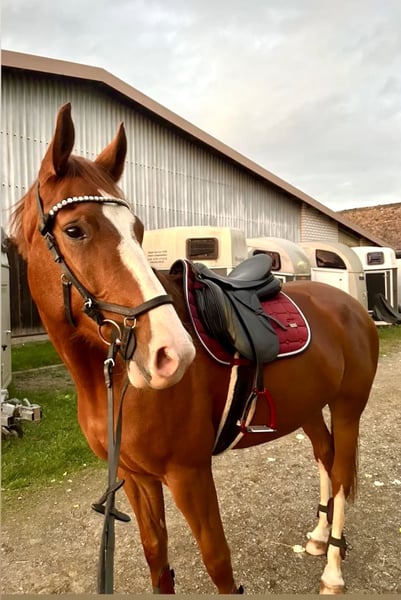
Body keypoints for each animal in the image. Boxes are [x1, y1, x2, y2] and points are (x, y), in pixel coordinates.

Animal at [11, 103, 379, 595]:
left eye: (138, 229)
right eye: (74, 230)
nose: (172, 353)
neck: (107, 382)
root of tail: (351, 306)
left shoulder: (189, 474)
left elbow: (219, 564)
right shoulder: (136, 478)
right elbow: (157, 561)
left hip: (347, 406)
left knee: (339, 473)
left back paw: (333, 571)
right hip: (310, 408)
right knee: (325, 457)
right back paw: (320, 538)